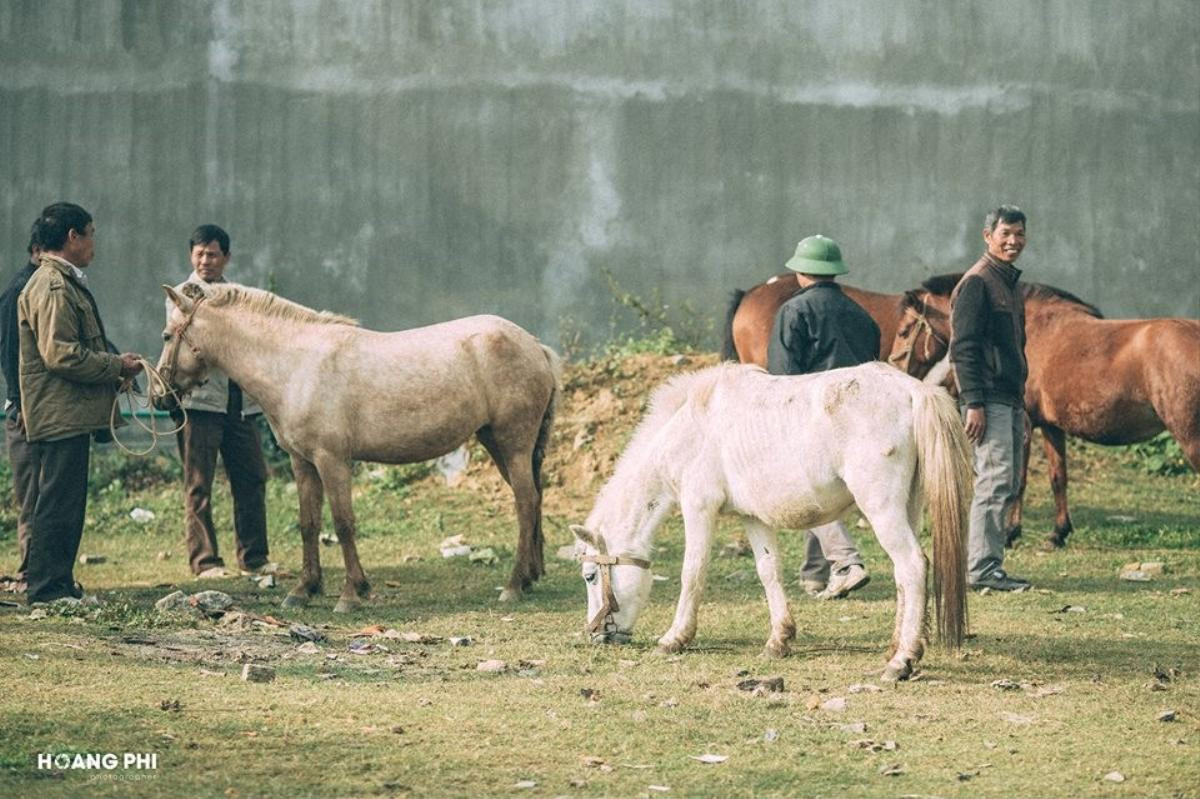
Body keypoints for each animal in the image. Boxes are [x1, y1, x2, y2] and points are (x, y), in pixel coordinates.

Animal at [571, 359, 974, 676]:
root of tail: (913, 390)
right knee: (904, 575)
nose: (597, 634)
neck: (690, 426)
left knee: (912, 565)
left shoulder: (698, 507)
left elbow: (693, 572)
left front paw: (675, 637)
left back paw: (901, 660)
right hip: (908, 507)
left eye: (590, 576)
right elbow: (769, 572)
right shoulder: (753, 517)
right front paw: (779, 640)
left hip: (882, 508)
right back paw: (898, 647)